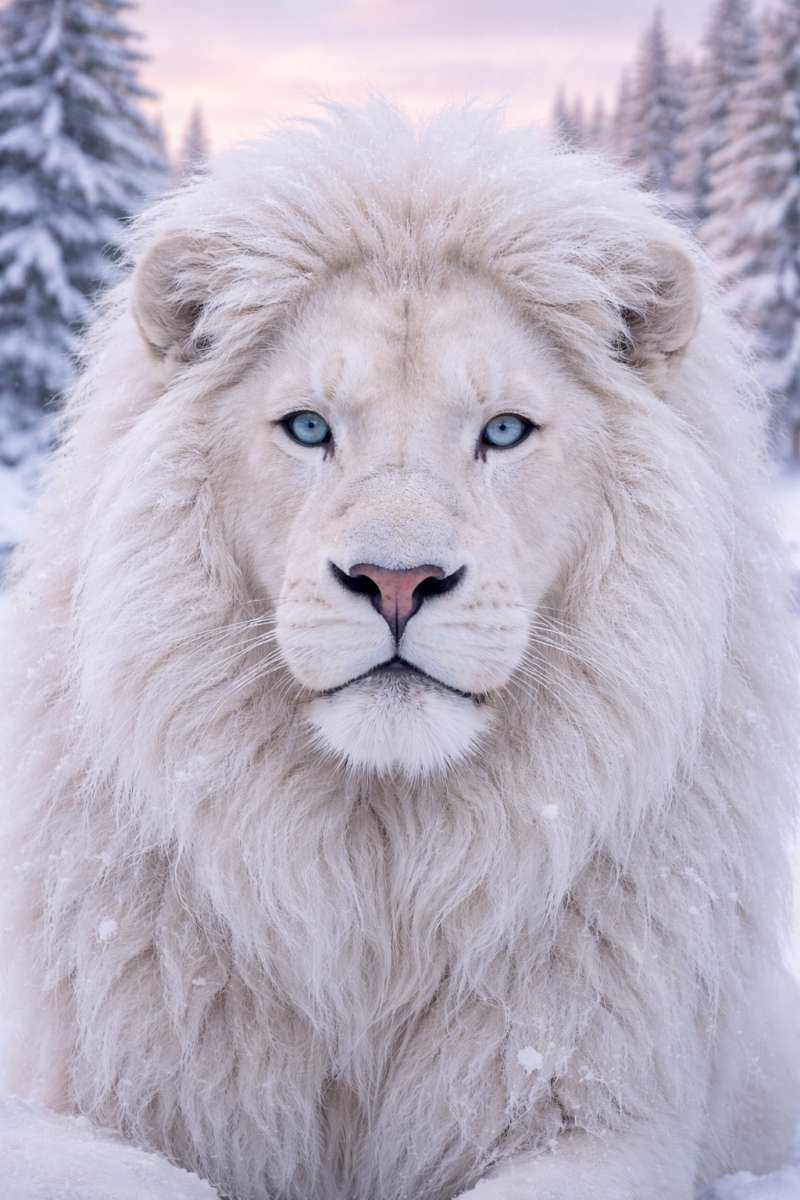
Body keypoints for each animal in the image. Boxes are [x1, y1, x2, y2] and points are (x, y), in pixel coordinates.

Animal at [1, 102, 798, 1200]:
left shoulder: (601, 1112)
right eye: (307, 427)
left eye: (503, 431)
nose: (394, 581)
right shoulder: (103, 1099)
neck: (379, 881)